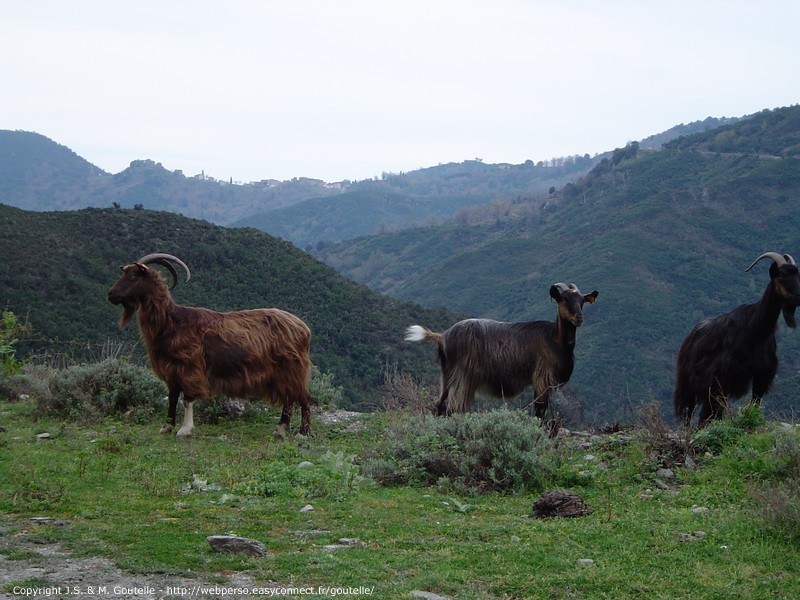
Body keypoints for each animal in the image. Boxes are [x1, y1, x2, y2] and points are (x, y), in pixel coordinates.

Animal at [108, 252, 312, 436]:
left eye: (132, 276)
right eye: (124, 273)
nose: (111, 295)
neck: (171, 322)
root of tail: (304, 328)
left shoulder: (190, 367)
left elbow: (188, 398)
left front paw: (185, 429)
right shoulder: (171, 370)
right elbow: (172, 398)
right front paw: (166, 427)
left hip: (292, 368)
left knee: (303, 397)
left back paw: (302, 432)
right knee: (289, 398)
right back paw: (280, 429)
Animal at [406, 284, 600, 420]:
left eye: (582, 302)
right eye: (564, 299)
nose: (579, 318)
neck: (555, 338)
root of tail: (442, 336)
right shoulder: (542, 377)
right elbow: (540, 409)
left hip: (446, 376)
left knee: (440, 404)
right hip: (462, 377)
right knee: (453, 407)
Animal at [676, 252, 800, 426]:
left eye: (797, 275)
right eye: (781, 277)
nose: (798, 297)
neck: (757, 331)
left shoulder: (762, 376)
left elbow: (755, 402)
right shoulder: (721, 378)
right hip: (688, 384)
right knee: (690, 412)